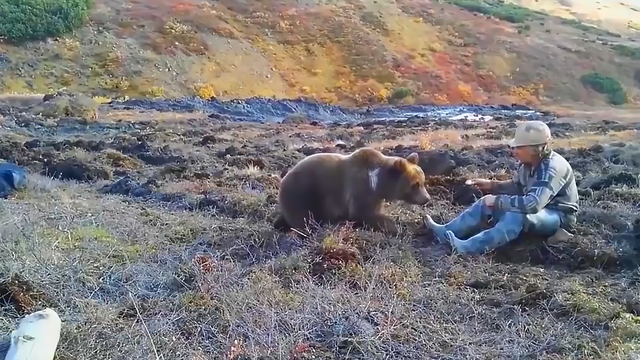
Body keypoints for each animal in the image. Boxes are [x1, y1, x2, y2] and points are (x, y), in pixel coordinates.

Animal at [272, 147, 432, 236]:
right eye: (415, 184)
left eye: (423, 181)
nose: (427, 198)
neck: (378, 184)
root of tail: (283, 180)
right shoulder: (360, 188)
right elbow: (362, 214)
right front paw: (397, 228)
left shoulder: (376, 197)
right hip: (303, 192)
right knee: (303, 217)